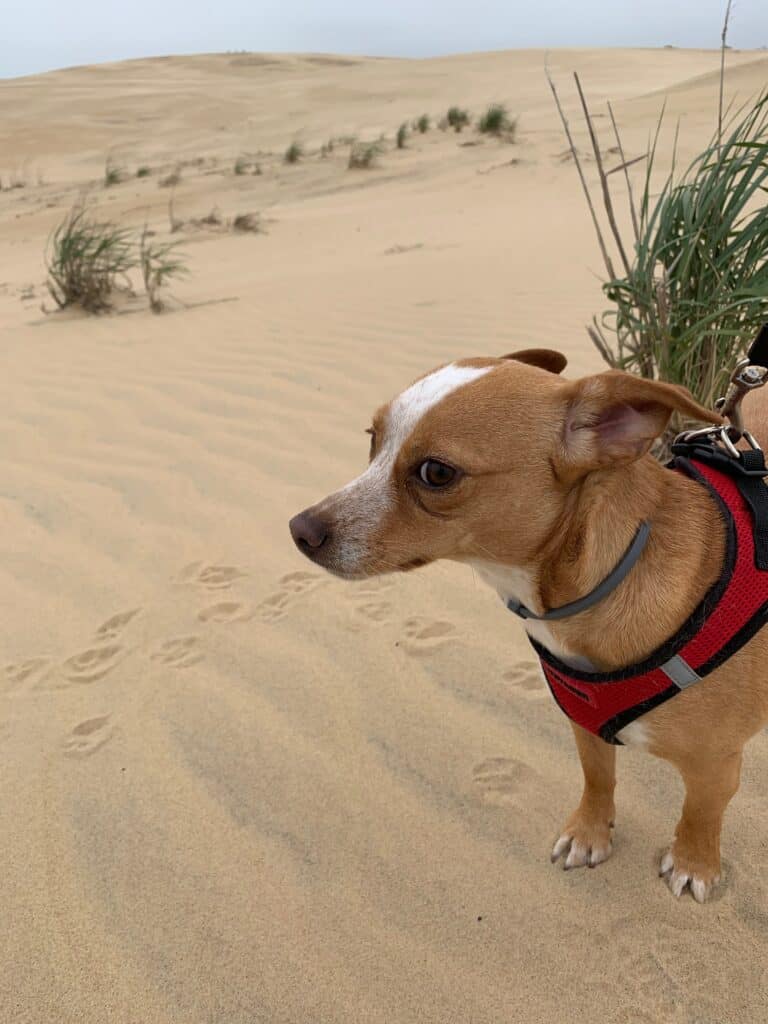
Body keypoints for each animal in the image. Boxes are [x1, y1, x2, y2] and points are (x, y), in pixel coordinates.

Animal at [288, 352, 768, 905]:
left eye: (436, 473)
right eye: (373, 439)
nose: (300, 530)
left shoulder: (714, 767)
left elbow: (699, 815)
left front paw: (694, 863)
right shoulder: (586, 726)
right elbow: (597, 780)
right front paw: (589, 832)